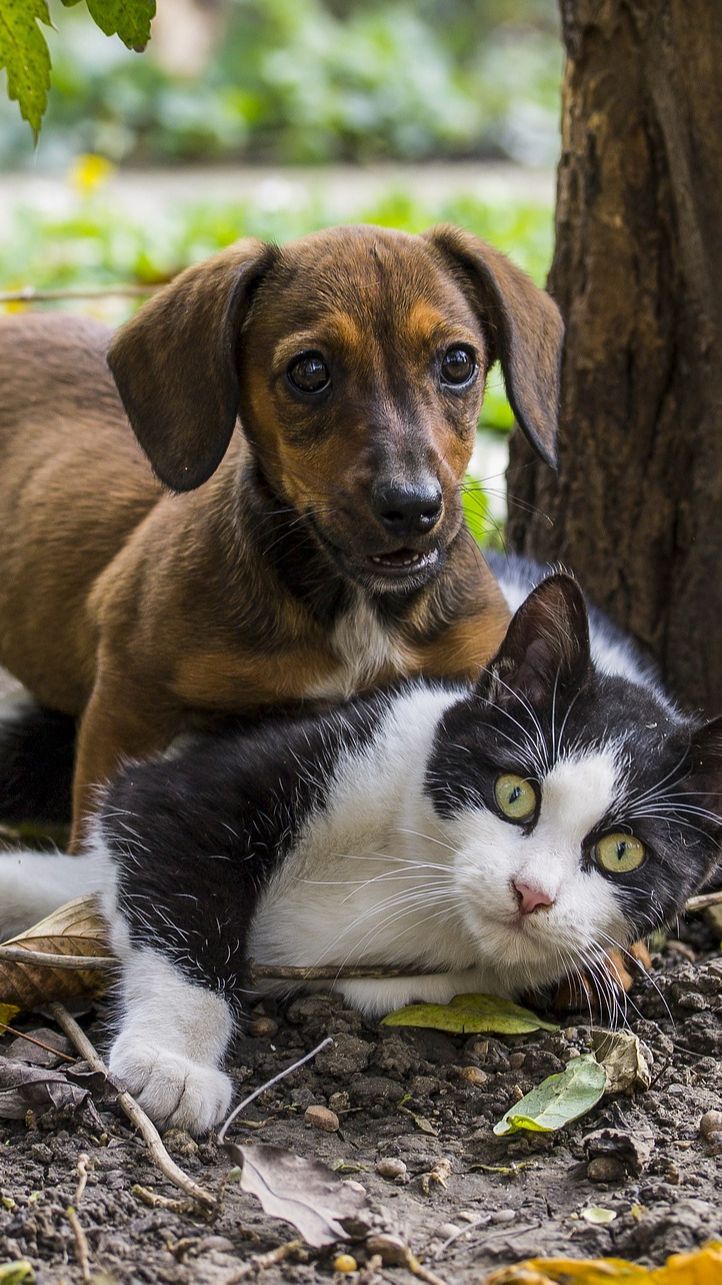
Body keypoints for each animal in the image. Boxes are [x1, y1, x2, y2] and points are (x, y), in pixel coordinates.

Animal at [1, 560, 719, 1135]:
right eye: (515, 793)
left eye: (622, 852)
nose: (531, 892)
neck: (412, 872)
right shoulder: (203, 782)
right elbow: (175, 871)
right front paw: (172, 1064)